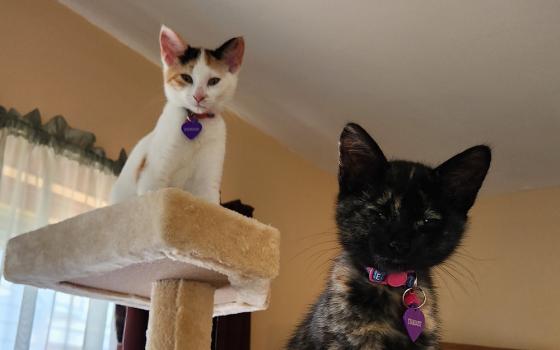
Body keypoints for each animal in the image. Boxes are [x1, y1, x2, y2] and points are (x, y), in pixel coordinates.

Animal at [110, 26, 244, 204]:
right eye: (186, 77)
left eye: (214, 81)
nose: (199, 96)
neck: (196, 120)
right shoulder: (153, 175)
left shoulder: (208, 184)